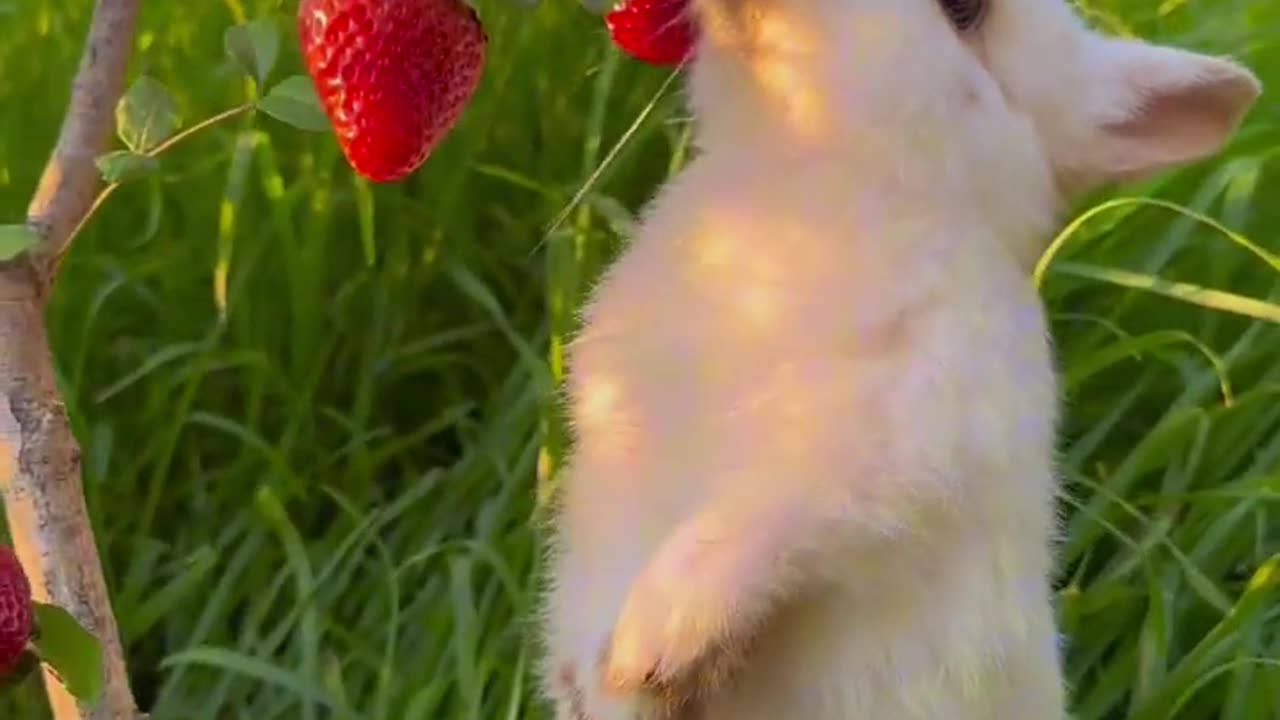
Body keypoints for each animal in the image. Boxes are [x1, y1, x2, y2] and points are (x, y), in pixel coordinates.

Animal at [535, 1, 1254, 717]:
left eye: (964, 12)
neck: (812, 186)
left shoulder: (881, 451)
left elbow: (744, 536)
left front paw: (646, 654)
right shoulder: (617, 446)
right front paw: (596, 683)